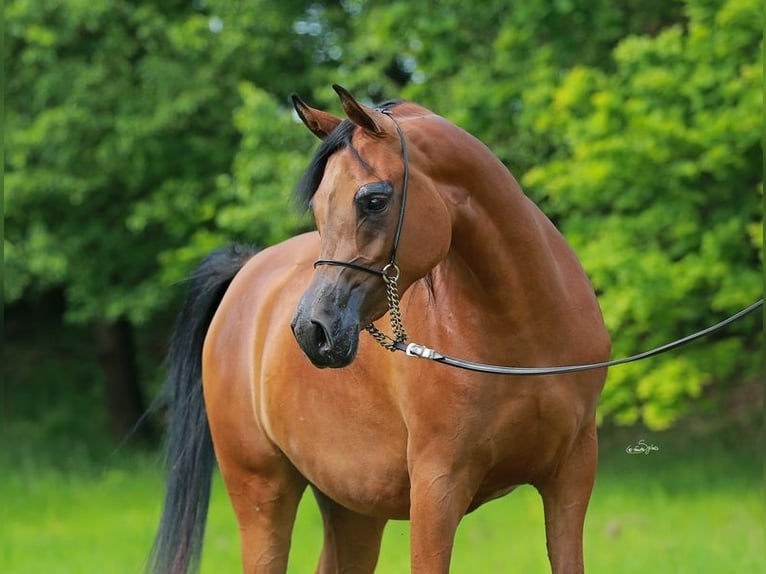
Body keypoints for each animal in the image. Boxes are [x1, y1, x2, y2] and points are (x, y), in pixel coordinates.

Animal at [147, 85, 611, 574]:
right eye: (318, 207)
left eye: (373, 200)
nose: (312, 329)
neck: (524, 341)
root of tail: (248, 273)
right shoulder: (436, 488)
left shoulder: (571, 477)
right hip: (261, 495)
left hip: (352, 507)